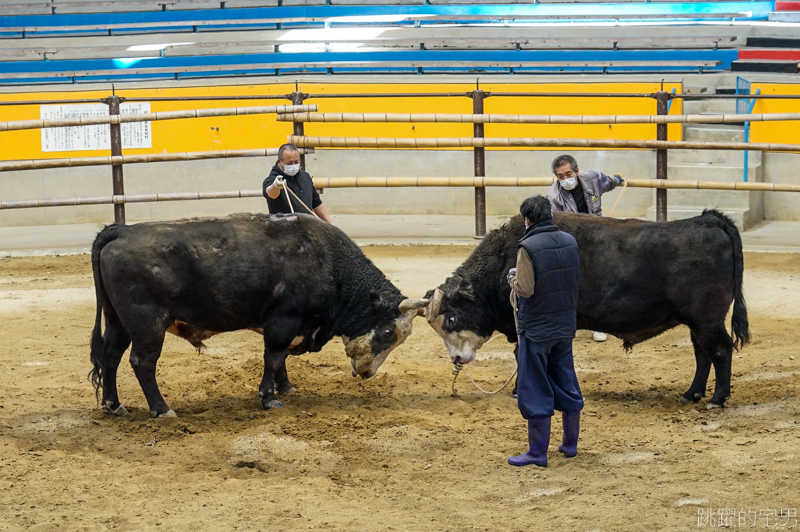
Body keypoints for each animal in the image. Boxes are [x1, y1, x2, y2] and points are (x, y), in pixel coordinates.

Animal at [87, 212, 432, 416]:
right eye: (388, 332)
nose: (367, 373)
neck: (329, 264)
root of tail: (121, 232)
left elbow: (281, 360)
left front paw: (286, 386)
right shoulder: (283, 321)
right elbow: (274, 356)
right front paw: (269, 397)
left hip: (118, 321)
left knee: (111, 356)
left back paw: (113, 405)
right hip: (147, 323)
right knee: (142, 362)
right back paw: (161, 409)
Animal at [424, 209, 752, 408]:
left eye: (451, 319)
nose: (457, 359)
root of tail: (708, 219)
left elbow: (523, 356)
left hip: (707, 320)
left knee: (720, 350)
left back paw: (717, 398)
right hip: (697, 323)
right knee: (702, 354)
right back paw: (691, 394)